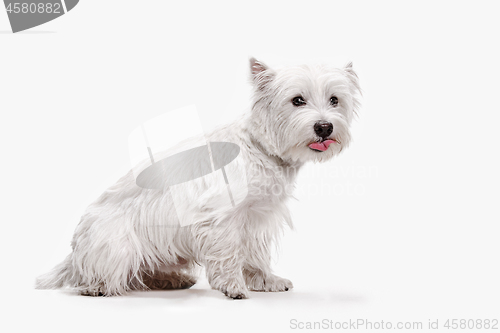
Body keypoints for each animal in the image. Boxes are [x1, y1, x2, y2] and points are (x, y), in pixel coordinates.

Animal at [38, 57, 360, 298]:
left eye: (334, 100)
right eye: (297, 100)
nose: (324, 127)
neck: (260, 148)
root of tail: (74, 252)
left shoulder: (258, 218)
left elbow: (255, 254)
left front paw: (265, 280)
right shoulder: (221, 216)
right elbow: (229, 253)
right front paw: (232, 287)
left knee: (142, 273)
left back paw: (174, 279)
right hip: (117, 243)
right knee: (103, 276)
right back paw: (99, 287)